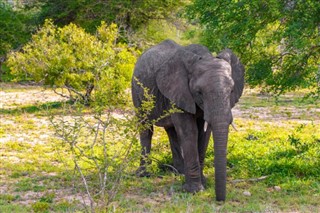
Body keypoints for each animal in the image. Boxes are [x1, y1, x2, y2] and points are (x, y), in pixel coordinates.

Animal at [131, 39, 245, 201]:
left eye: (231, 91)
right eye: (199, 92)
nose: (220, 200)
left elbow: (204, 133)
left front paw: (203, 183)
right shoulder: (179, 90)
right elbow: (189, 131)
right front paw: (194, 190)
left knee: (171, 130)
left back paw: (179, 172)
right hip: (137, 91)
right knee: (146, 128)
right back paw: (144, 174)